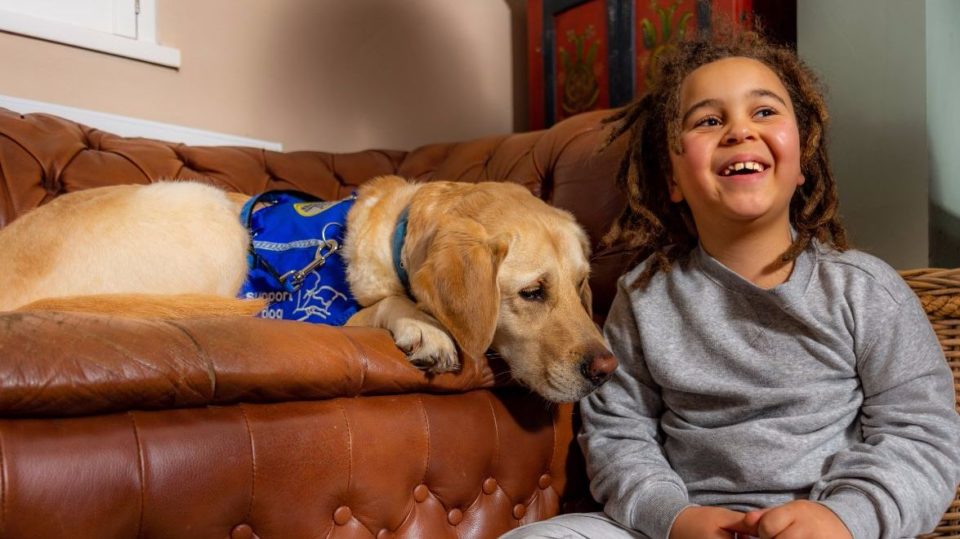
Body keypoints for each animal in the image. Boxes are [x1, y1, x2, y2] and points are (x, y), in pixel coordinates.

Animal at [0, 175, 616, 402]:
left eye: (581, 286)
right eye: (533, 293)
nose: (606, 369)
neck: (396, 234)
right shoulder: (304, 307)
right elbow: (388, 304)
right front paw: (424, 328)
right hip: (207, 212)